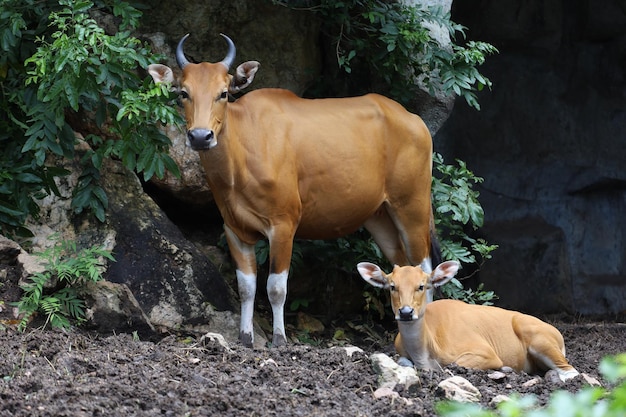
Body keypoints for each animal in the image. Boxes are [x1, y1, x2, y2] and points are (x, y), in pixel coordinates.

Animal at [149, 34, 436, 346]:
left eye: (223, 93)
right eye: (183, 93)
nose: (201, 136)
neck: (242, 156)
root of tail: (414, 120)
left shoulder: (284, 224)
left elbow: (276, 287)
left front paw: (279, 337)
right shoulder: (234, 229)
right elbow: (246, 287)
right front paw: (245, 336)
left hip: (412, 207)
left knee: (425, 269)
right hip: (379, 216)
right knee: (402, 266)